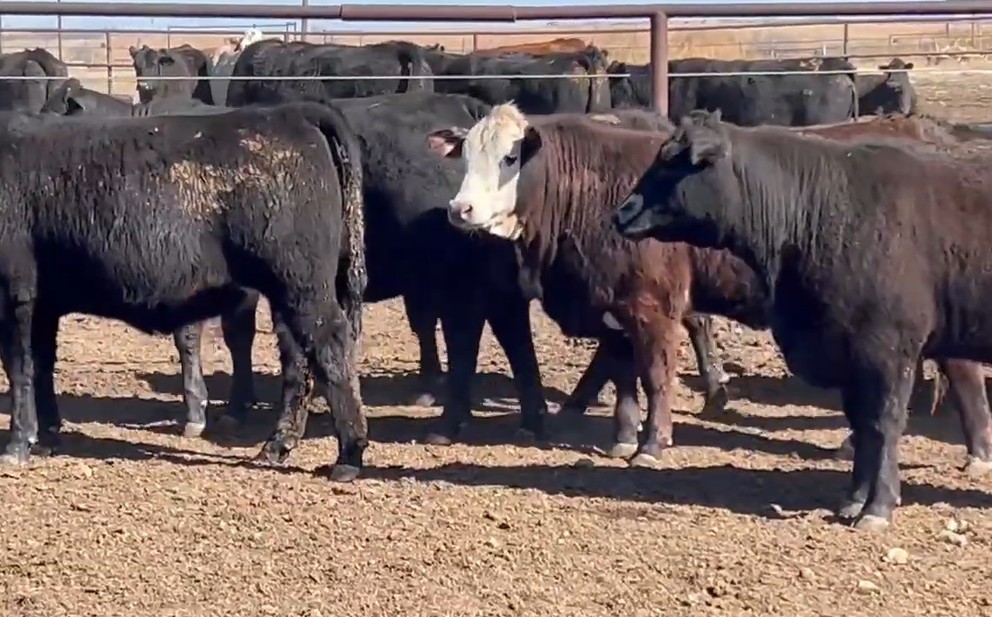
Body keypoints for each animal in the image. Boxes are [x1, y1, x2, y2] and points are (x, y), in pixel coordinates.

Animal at [0, 101, 368, 481]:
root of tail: (293, 112)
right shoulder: (44, 302)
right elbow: (41, 364)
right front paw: (46, 437)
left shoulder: (15, 292)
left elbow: (18, 367)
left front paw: (17, 445)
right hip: (290, 295)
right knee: (298, 360)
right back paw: (277, 445)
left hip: (303, 288)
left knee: (331, 348)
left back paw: (348, 456)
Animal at [426, 103, 769, 465]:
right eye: (465, 156)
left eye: (510, 157)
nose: (460, 209)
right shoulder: (615, 306)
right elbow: (624, 375)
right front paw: (625, 436)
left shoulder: (652, 309)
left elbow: (656, 376)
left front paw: (652, 444)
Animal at [612, 109, 992, 529]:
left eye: (672, 163)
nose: (621, 211)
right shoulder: (849, 355)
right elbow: (862, 425)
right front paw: (854, 500)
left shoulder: (889, 352)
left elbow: (883, 425)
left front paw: (878, 507)